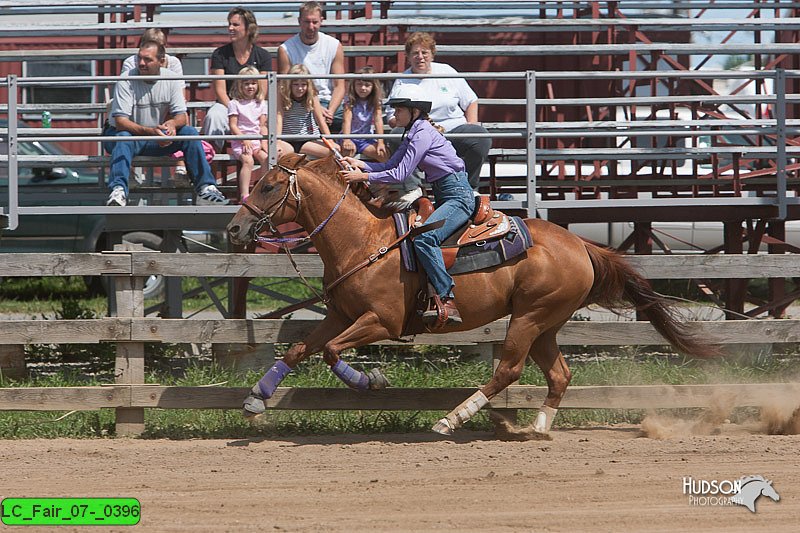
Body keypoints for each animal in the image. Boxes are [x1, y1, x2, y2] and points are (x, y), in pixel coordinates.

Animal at [227, 153, 720, 436]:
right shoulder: (340, 316)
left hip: (529, 319)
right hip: (545, 324)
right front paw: (254, 400)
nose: (234, 229)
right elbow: (298, 349)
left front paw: (373, 381)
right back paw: (538, 427)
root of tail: (582, 245)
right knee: (559, 375)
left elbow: (330, 352)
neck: (363, 240)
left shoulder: (381, 322)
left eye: (269, 185)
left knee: (508, 370)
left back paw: (452, 419)